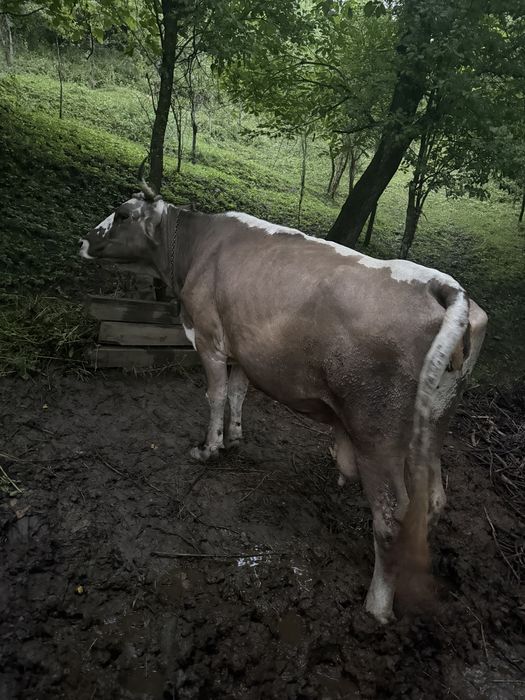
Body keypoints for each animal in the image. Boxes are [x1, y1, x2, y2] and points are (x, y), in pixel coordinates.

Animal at [79, 182, 488, 624]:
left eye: (122, 214)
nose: (83, 240)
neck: (196, 246)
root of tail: (442, 285)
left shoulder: (208, 336)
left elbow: (215, 394)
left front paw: (208, 448)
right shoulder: (243, 347)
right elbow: (238, 392)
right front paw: (235, 438)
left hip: (376, 436)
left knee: (391, 517)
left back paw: (377, 605)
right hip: (433, 426)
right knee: (433, 501)